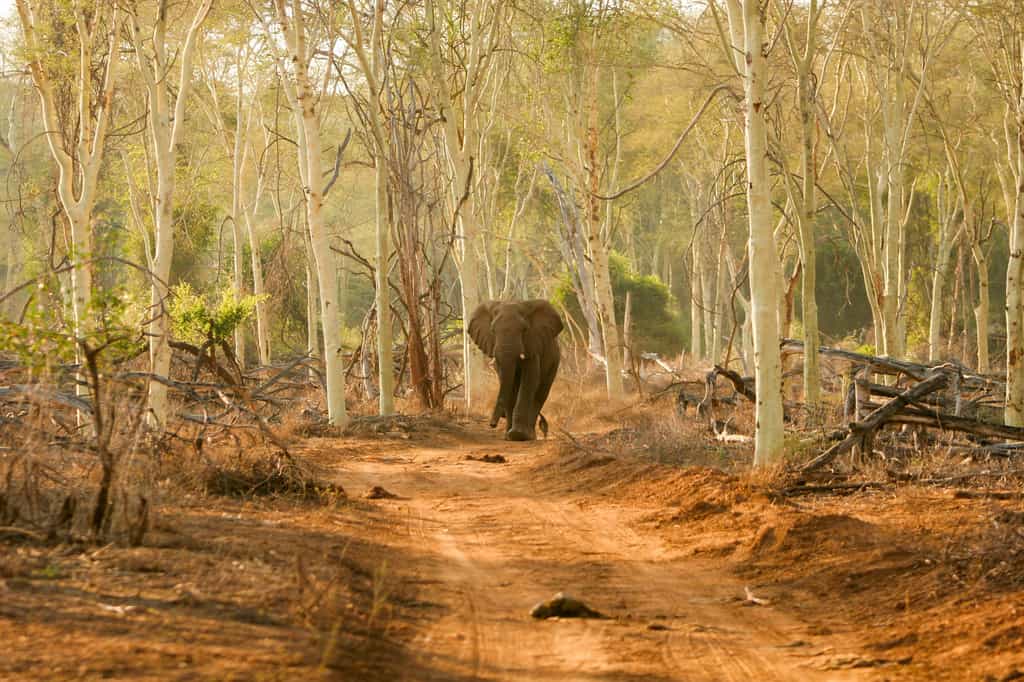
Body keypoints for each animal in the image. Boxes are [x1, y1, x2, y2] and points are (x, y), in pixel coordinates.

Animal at [467, 299, 564, 441]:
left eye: (524, 330)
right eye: (492, 330)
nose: (492, 424)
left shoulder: (532, 346)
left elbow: (530, 380)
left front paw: (518, 435)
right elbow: (507, 382)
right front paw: (508, 436)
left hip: (554, 362)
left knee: (540, 394)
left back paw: (530, 436)